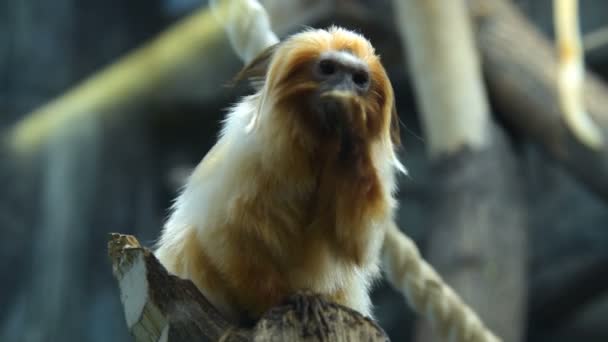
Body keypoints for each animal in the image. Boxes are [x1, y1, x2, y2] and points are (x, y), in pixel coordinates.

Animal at [154, 26, 406, 324]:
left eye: (359, 79)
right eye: (328, 68)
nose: (345, 86)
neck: (319, 140)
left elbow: (355, 244)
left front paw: (352, 122)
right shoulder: (252, 150)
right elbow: (224, 231)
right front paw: (288, 298)